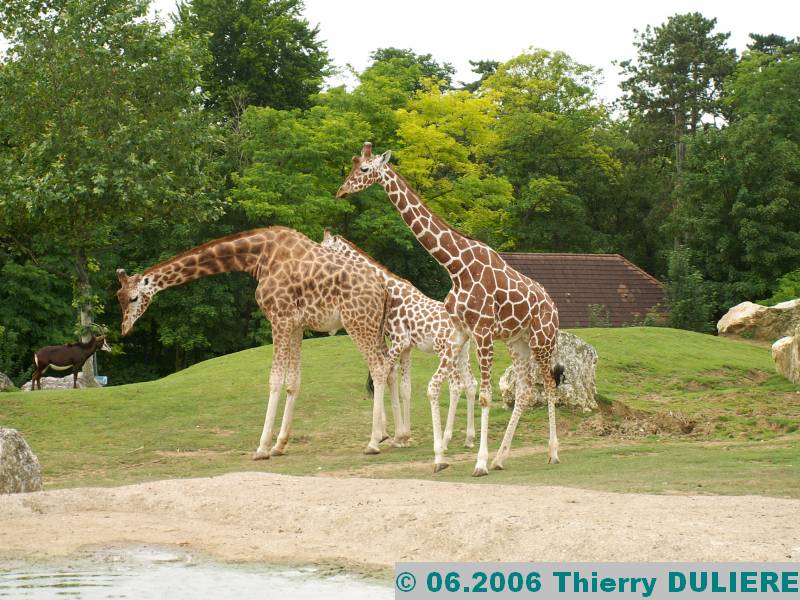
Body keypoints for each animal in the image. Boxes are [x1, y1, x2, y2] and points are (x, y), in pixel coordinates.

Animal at [112, 227, 400, 458]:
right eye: (119, 297)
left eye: (134, 298)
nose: (125, 329)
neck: (257, 256)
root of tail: (383, 290)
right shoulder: (296, 324)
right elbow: (293, 382)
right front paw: (279, 445)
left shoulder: (280, 317)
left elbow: (275, 379)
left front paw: (262, 448)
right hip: (374, 328)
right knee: (390, 368)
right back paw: (397, 436)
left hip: (357, 322)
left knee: (378, 368)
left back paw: (373, 442)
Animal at [318, 230, 476, 454]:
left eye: (324, 249)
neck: (391, 290)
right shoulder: (407, 347)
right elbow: (405, 387)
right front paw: (402, 437)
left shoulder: (399, 340)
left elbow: (384, 374)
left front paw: (384, 438)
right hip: (463, 354)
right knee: (471, 384)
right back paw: (469, 438)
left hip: (446, 352)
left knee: (456, 386)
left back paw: (445, 440)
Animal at [334, 143, 564, 476]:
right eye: (352, 166)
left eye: (364, 169)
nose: (340, 191)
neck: (456, 267)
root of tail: (553, 305)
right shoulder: (459, 332)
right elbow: (432, 387)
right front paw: (440, 457)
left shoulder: (482, 331)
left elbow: (484, 396)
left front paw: (478, 462)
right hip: (517, 341)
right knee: (524, 392)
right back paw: (501, 458)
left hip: (542, 340)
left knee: (549, 385)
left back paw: (552, 452)